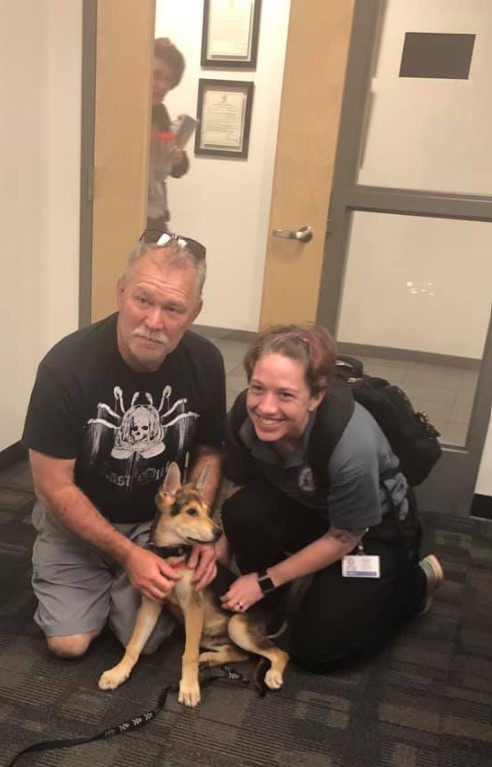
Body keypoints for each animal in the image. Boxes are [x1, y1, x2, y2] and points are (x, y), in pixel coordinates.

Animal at [98, 462, 288, 708]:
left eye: (208, 511)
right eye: (191, 512)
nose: (218, 532)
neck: (173, 557)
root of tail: (264, 622)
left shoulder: (193, 607)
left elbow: (187, 654)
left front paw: (189, 687)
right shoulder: (151, 603)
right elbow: (135, 643)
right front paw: (118, 672)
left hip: (236, 625)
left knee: (279, 653)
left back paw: (272, 674)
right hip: (209, 634)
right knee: (239, 652)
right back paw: (208, 658)